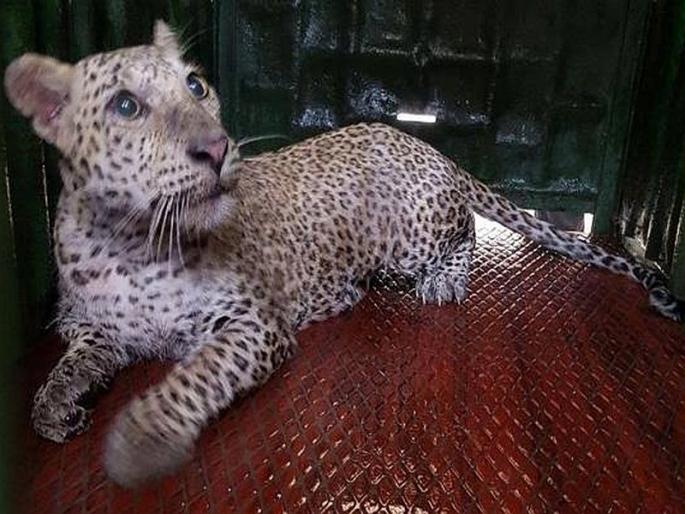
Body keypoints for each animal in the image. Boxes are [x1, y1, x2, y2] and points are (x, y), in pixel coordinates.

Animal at [4, 21, 683, 489]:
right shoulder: (95, 327)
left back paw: (438, 281)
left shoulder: (251, 325)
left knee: (464, 231)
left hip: (416, 229)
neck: (129, 242)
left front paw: (139, 439)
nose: (217, 148)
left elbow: (193, 378)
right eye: (125, 106)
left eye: (196, 85)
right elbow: (71, 362)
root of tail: (430, 148)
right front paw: (55, 405)